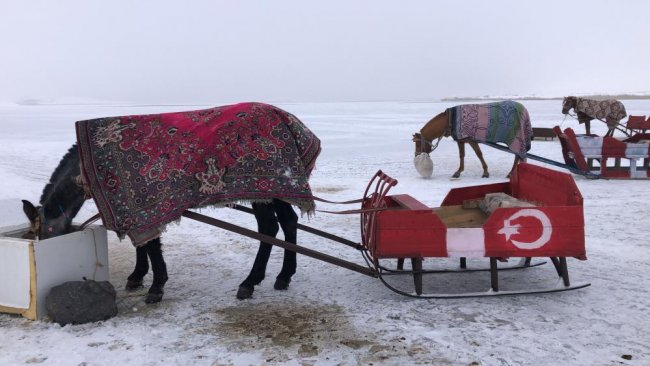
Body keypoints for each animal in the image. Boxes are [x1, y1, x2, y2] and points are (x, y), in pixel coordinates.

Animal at [21, 102, 320, 304]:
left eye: (42, 233)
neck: (90, 168)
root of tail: (288, 120)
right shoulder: (135, 210)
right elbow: (143, 244)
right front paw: (137, 276)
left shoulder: (140, 206)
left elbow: (151, 246)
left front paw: (156, 286)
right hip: (277, 190)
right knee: (288, 222)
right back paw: (283, 276)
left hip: (264, 190)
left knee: (269, 228)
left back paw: (250, 282)